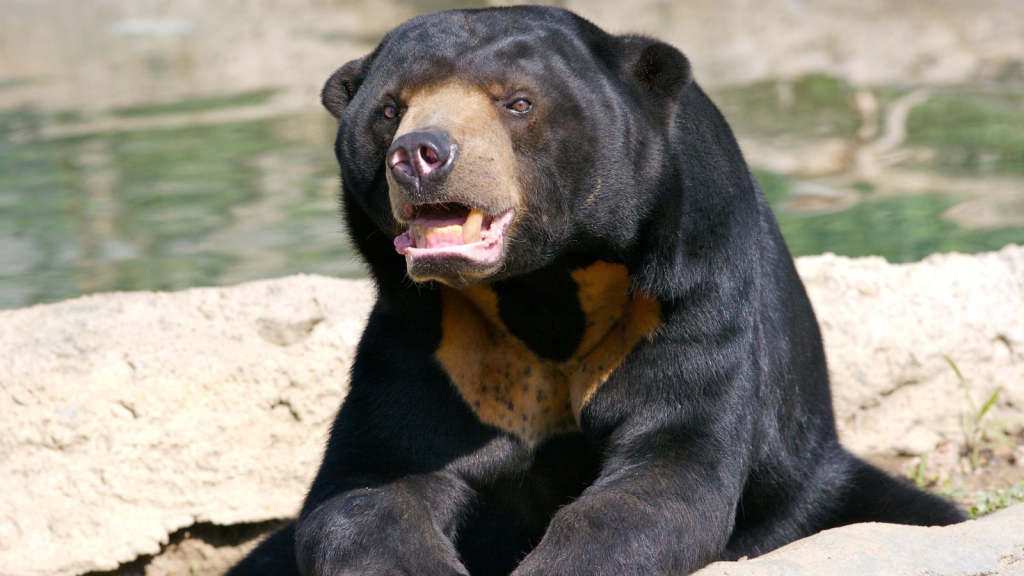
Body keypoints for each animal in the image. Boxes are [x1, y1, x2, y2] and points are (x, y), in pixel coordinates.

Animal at [228, 5, 962, 573]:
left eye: (517, 102)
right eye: (389, 109)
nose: (419, 155)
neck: (543, 285)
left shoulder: (685, 295)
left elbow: (665, 469)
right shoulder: (434, 333)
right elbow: (373, 480)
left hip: (812, 477)